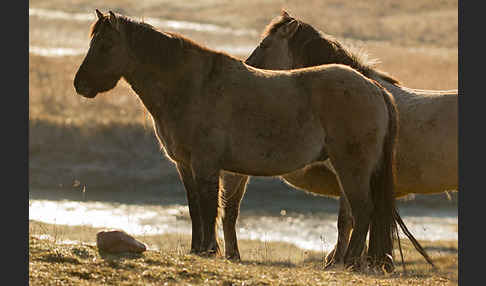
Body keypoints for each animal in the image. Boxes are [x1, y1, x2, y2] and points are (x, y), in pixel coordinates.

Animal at [76, 9, 400, 272]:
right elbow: (196, 208)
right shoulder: (185, 166)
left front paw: (208, 251)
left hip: (352, 169)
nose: (80, 85)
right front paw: (197, 250)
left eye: (105, 46)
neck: (193, 87)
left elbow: (209, 208)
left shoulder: (206, 165)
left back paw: (350, 263)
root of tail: (375, 88)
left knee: (363, 211)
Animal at [220, 9, 456, 268]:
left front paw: (341, 261)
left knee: (229, 210)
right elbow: (348, 220)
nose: (245, 72)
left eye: (265, 44)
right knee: (230, 210)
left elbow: (347, 220)